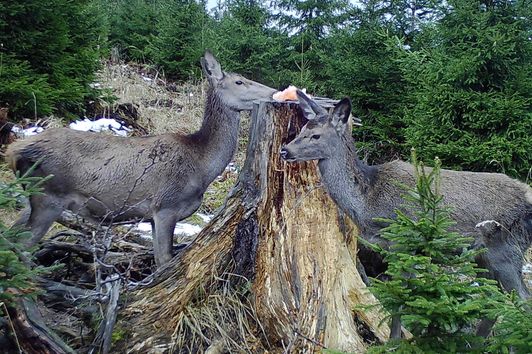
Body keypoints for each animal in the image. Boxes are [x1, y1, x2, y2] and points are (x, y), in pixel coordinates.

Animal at [6, 50, 276, 266]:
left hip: (34, 198)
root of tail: (14, 150)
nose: (275, 92)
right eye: (240, 81)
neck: (201, 165)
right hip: (49, 196)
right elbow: (164, 260)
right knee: (21, 248)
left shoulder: (153, 216)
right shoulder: (166, 205)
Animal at [278, 89, 532, 304]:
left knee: (522, 299)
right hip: (485, 258)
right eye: (302, 129)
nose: (284, 150)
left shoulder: (404, 242)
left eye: (316, 136)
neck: (367, 202)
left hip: (507, 249)